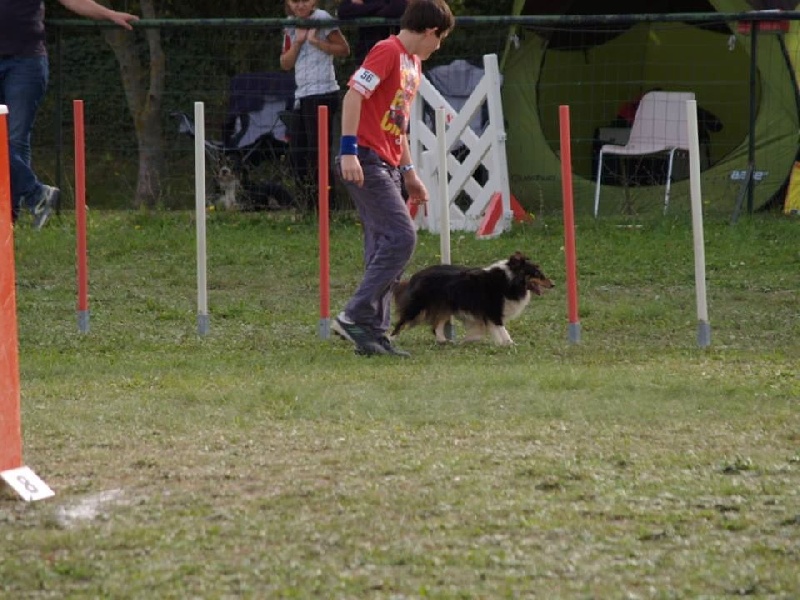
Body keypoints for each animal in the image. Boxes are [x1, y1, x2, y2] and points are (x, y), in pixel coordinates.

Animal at [390, 252, 552, 346]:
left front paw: (471, 339)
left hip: (445, 307)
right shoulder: (493, 310)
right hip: (418, 306)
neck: (509, 280)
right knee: (401, 322)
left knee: (436, 326)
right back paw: (391, 340)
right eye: (537, 273)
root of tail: (416, 276)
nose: (553, 284)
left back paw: (444, 341)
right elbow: (502, 328)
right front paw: (510, 343)